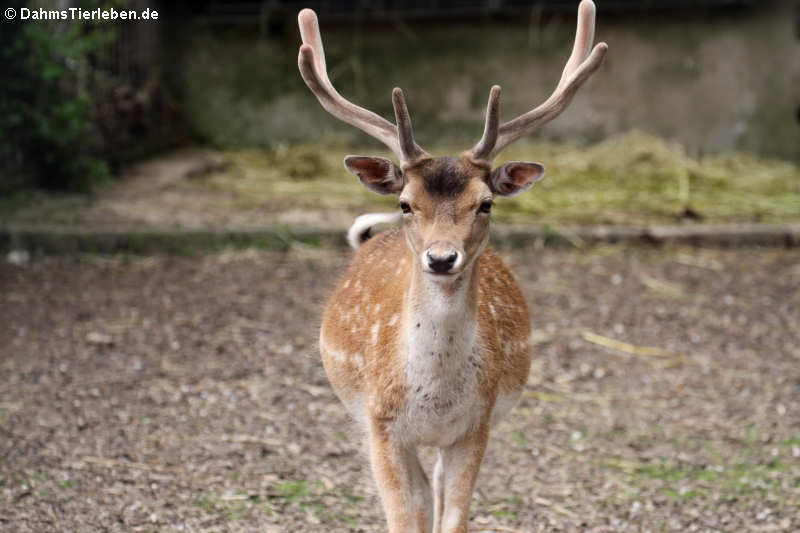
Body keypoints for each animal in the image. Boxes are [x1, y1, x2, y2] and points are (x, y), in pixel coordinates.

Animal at [300, 2, 608, 528]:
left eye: (485, 203)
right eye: (405, 203)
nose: (442, 258)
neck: (434, 398)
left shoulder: (474, 426)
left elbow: (454, 517)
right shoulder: (380, 426)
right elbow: (404, 517)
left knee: (434, 490)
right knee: (423, 495)